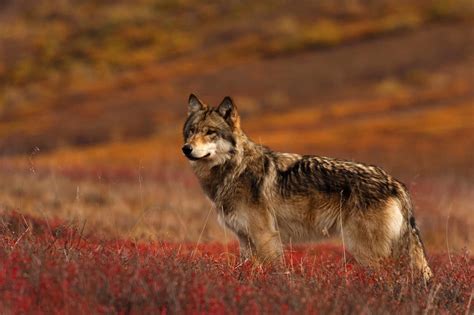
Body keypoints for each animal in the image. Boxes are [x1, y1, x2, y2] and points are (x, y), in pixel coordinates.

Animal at [181, 94, 434, 282]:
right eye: (191, 131)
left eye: (209, 132)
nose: (186, 148)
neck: (234, 169)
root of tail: (396, 183)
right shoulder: (244, 239)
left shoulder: (265, 237)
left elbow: (275, 271)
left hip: (364, 251)